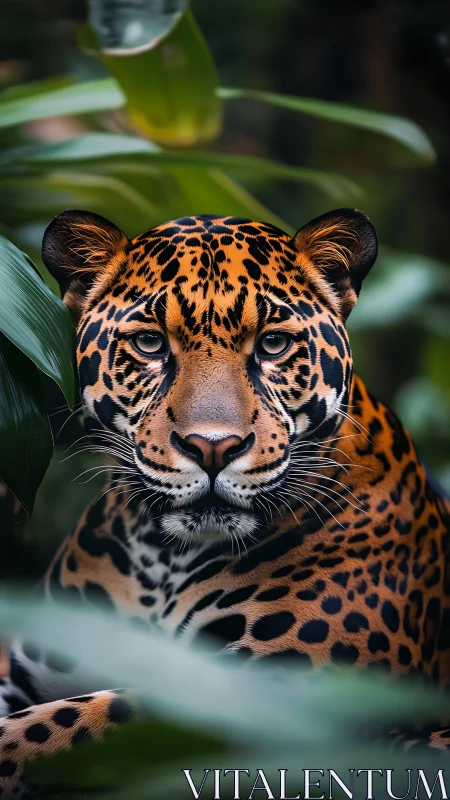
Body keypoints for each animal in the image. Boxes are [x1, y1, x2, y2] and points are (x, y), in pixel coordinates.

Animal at [0, 207, 449, 797]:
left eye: (273, 345)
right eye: (149, 344)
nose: (213, 446)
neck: (164, 558)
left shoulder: (277, 693)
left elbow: (51, 728)